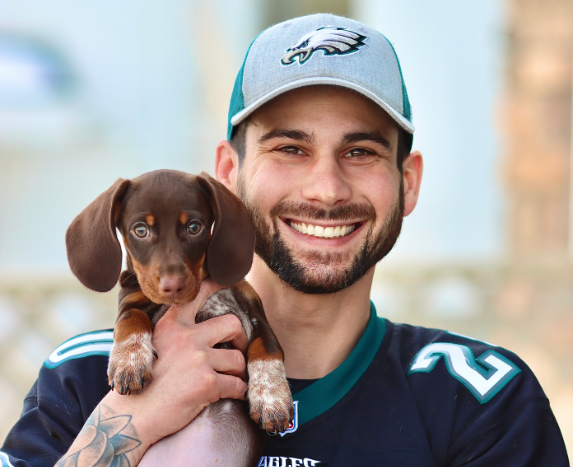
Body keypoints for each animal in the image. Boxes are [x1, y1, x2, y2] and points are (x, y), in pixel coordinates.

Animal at [65, 170, 292, 458]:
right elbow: (131, 321)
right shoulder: (131, 303)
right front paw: (129, 362)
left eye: (194, 227)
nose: (172, 286)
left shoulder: (253, 307)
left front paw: (271, 399)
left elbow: (266, 349)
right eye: (140, 230)